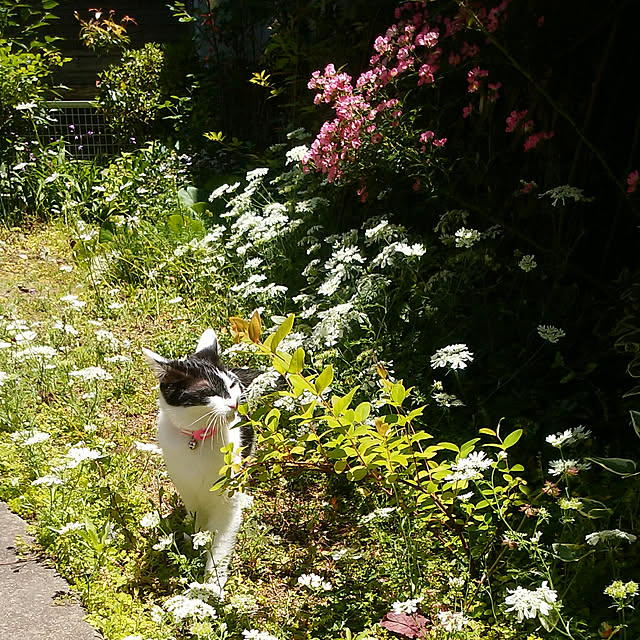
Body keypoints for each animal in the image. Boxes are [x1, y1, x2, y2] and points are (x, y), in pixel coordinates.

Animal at [143, 328, 262, 596]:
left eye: (231, 385)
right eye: (208, 392)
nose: (234, 403)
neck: (198, 440)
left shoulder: (227, 503)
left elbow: (220, 545)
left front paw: (211, 584)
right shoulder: (188, 490)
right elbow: (198, 523)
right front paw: (195, 541)